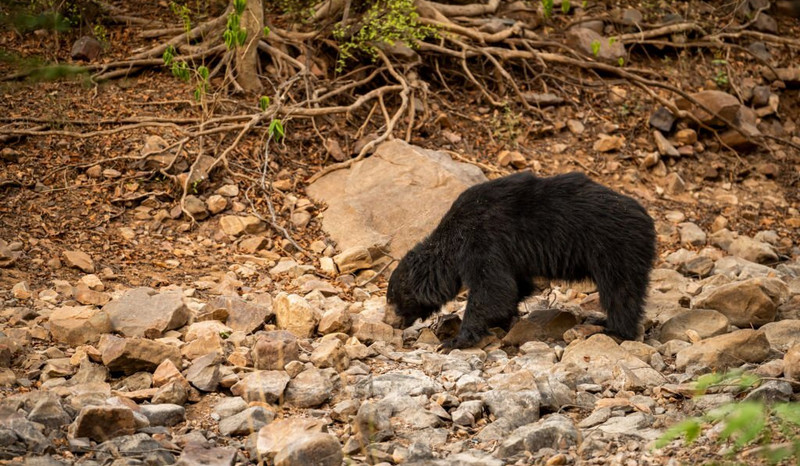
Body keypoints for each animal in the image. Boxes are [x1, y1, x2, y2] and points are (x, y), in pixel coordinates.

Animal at [386, 171, 656, 350]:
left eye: (393, 299)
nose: (390, 322)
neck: (453, 238)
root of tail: (647, 219)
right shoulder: (508, 254)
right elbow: (515, 287)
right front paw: (504, 320)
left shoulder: (482, 241)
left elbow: (493, 289)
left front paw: (454, 341)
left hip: (614, 248)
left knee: (620, 292)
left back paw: (612, 329)